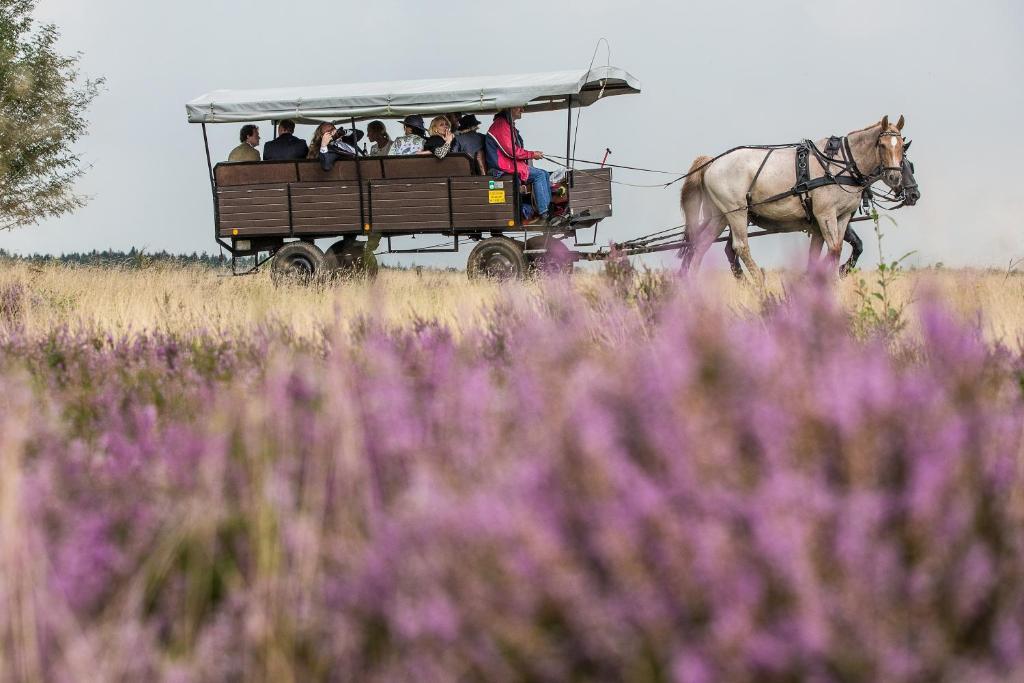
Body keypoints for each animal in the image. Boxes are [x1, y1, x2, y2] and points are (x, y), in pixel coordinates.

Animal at [679, 116, 905, 284]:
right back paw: (759, 282)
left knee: (701, 244)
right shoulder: (825, 215)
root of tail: (712, 162)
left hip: (720, 215)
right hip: (737, 212)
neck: (839, 164)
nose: (895, 177)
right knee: (740, 246)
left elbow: (836, 249)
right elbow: (833, 250)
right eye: (882, 144)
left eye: (902, 145)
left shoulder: (842, 216)